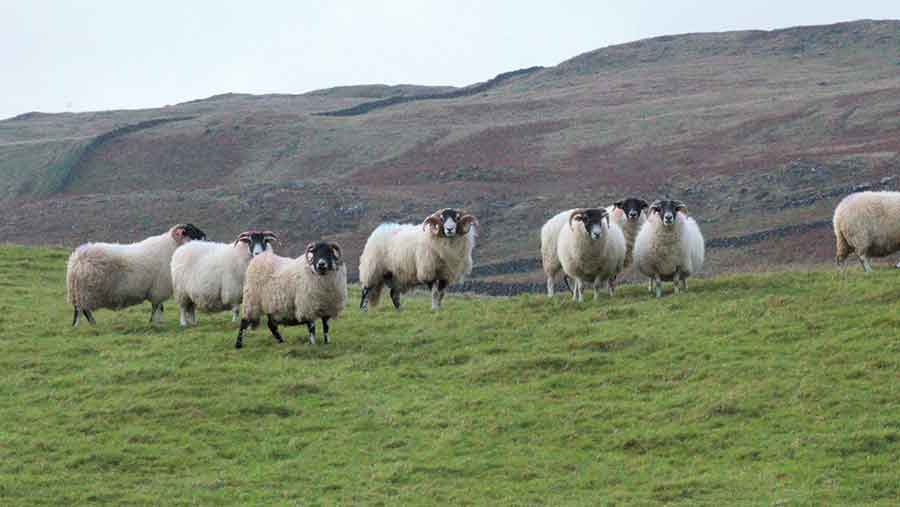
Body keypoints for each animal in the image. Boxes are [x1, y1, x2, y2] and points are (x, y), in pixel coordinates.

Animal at [67, 224, 207, 328]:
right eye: (192, 232)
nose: (205, 238)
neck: (171, 247)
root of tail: (76, 259)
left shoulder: (156, 290)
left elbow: (159, 307)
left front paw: (158, 322)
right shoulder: (158, 289)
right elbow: (157, 307)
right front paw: (153, 322)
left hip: (80, 292)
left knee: (80, 310)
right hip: (85, 292)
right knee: (83, 310)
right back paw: (89, 324)